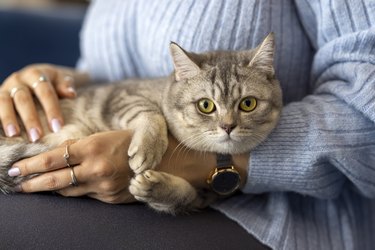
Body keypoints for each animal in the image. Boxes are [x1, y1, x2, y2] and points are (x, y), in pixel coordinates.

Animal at [0, 32, 282, 213]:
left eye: (248, 103)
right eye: (206, 105)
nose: (228, 126)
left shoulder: (204, 197)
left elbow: (184, 196)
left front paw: (155, 187)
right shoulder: (123, 96)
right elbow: (149, 112)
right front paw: (147, 149)